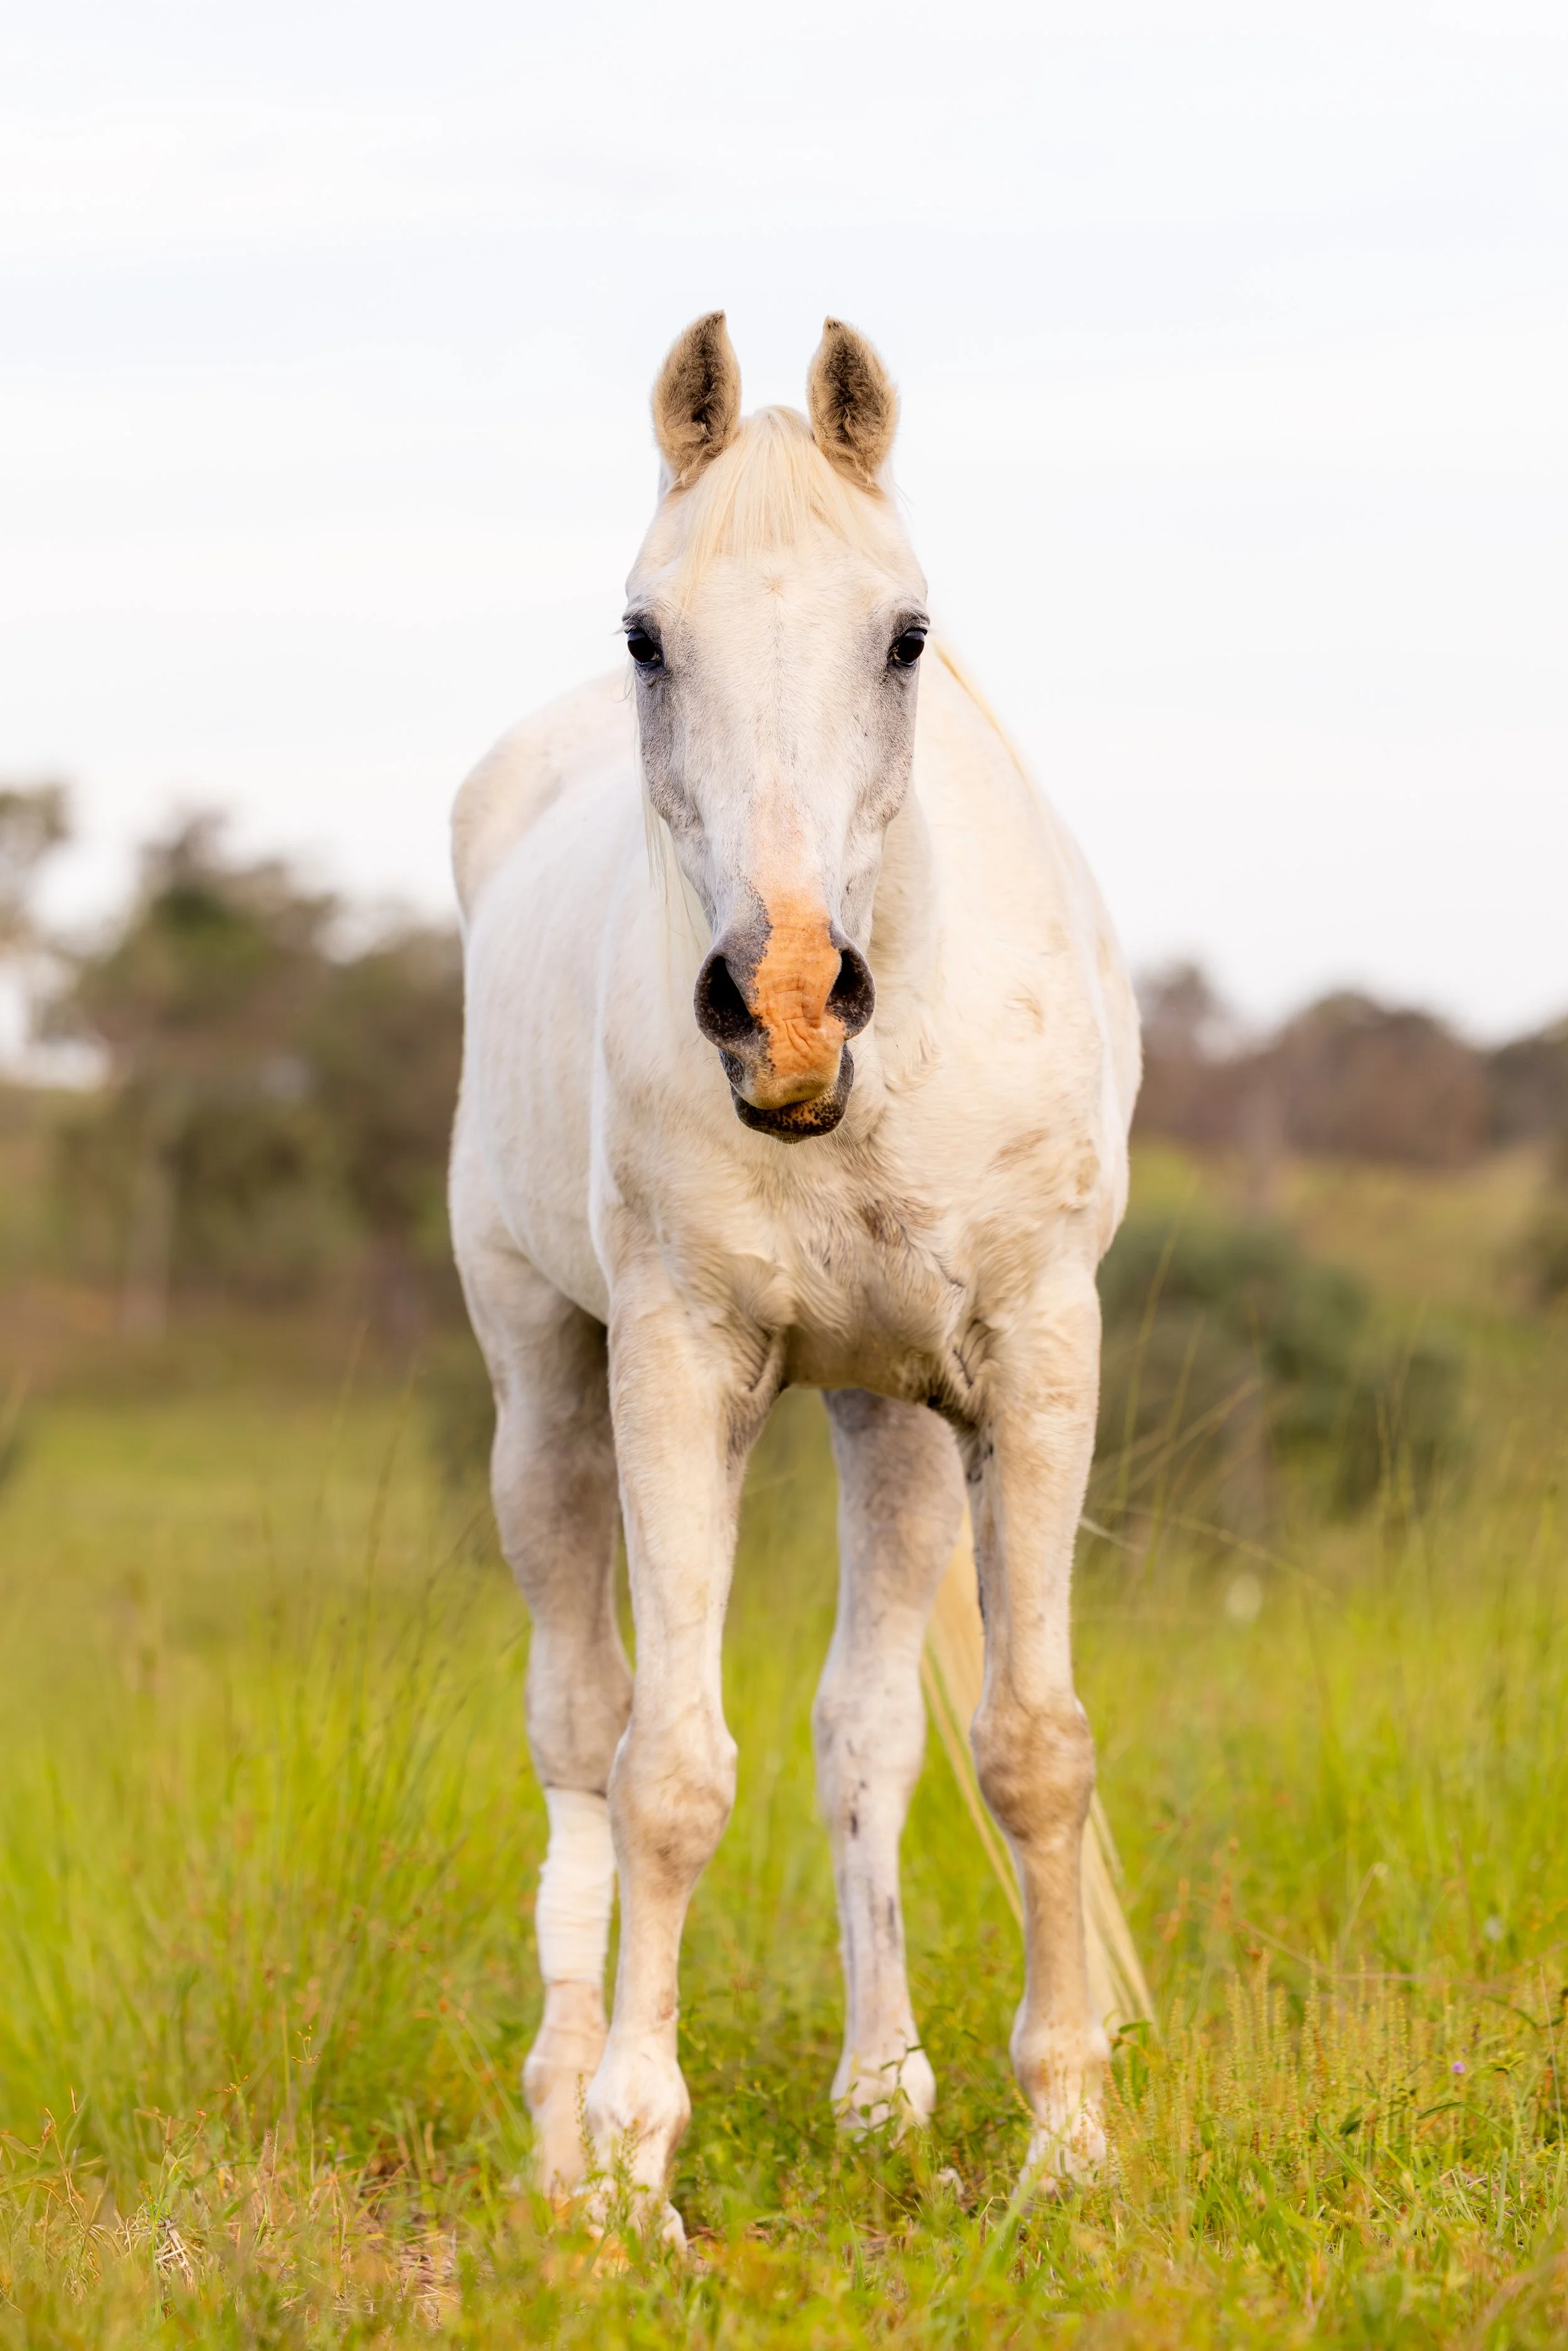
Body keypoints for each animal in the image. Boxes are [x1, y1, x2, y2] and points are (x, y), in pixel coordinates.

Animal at [450, 312, 1141, 2238]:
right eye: (645, 636)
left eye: (902, 633)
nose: (782, 1007)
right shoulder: (678, 1369)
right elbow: (669, 1771)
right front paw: (632, 2171)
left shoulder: (1031, 1359)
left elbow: (1026, 1744)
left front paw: (1062, 2141)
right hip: (543, 1388)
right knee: (579, 1724)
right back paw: (557, 2126)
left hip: (883, 1416)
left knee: (864, 1730)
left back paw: (881, 2093)